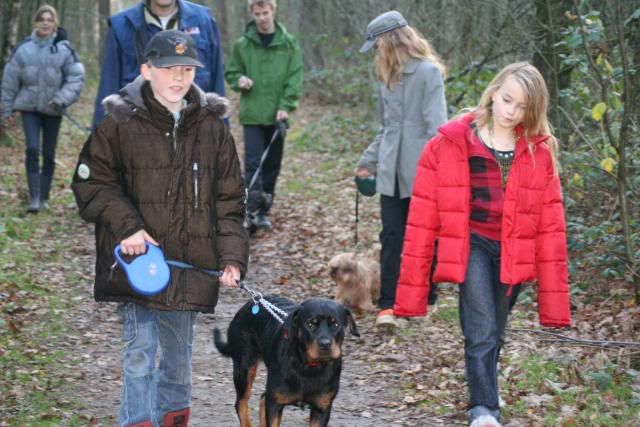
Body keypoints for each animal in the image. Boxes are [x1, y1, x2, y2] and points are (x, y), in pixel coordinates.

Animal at [212, 296, 358, 427]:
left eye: (336, 324)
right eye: (310, 324)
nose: (325, 344)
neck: (307, 366)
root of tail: (251, 302)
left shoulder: (322, 408)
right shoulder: (275, 402)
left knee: (262, 398)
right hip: (244, 368)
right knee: (241, 402)